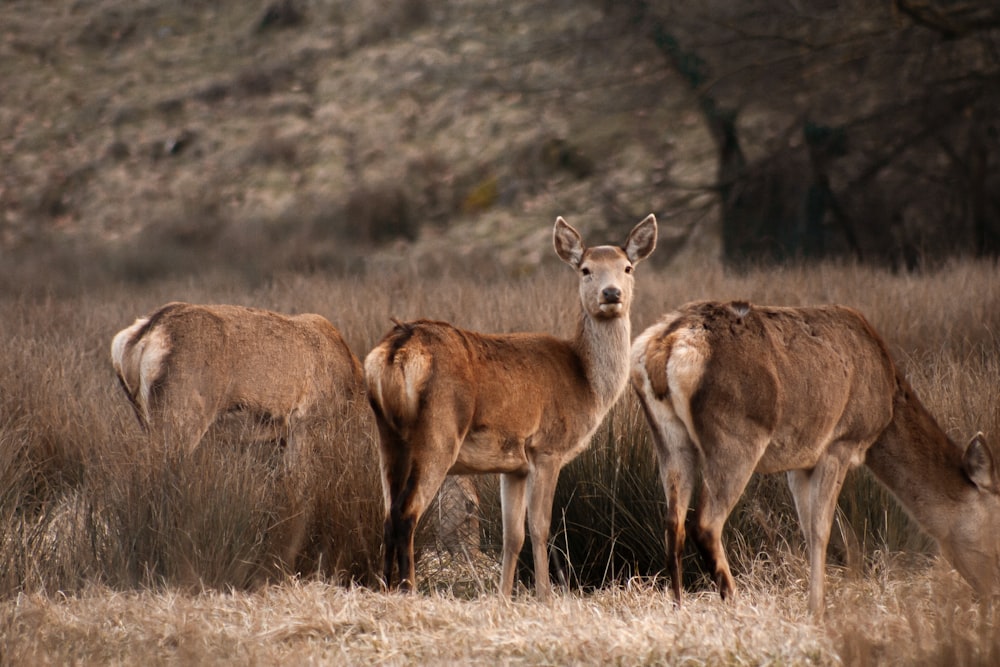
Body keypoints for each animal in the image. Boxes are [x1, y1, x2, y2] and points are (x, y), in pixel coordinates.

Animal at [366, 214, 656, 596]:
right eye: (586, 270)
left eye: (627, 267)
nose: (611, 294)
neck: (585, 382)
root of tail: (396, 348)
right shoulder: (546, 447)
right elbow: (541, 527)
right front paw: (546, 594)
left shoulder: (512, 464)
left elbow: (512, 534)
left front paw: (504, 595)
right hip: (437, 432)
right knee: (406, 513)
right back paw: (408, 588)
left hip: (387, 435)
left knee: (387, 514)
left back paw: (384, 588)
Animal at [632, 300, 1000, 620]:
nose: (993, 594)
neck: (887, 406)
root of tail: (664, 345)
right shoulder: (840, 442)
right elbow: (822, 530)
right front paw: (817, 610)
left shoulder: (800, 459)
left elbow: (808, 529)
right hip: (735, 439)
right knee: (706, 523)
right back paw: (736, 605)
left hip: (668, 440)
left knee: (673, 522)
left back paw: (678, 610)